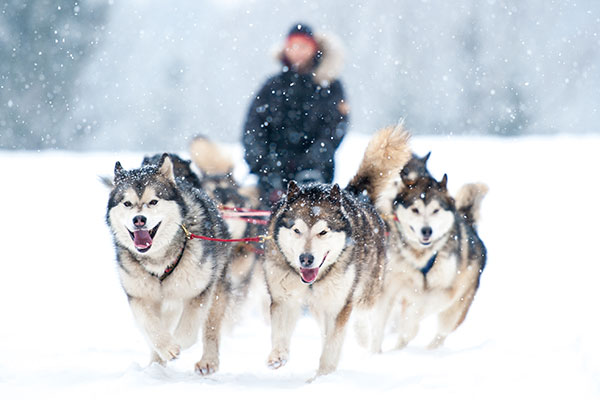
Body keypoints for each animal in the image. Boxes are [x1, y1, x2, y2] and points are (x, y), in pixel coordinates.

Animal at [106, 154, 232, 376]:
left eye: (153, 201)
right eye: (127, 203)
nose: (139, 220)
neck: (158, 260)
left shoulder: (200, 290)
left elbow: (189, 330)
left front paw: (177, 343)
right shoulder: (138, 296)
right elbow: (150, 325)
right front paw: (165, 348)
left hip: (217, 289)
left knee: (211, 327)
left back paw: (208, 361)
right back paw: (155, 366)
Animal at [264, 124, 412, 378]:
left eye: (323, 232)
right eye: (296, 230)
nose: (306, 259)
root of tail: (351, 194)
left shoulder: (338, 304)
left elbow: (333, 345)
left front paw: (323, 376)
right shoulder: (284, 297)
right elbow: (282, 331)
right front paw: (278, 355)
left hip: (366, 289)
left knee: (362, 313)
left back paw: (363, 337)